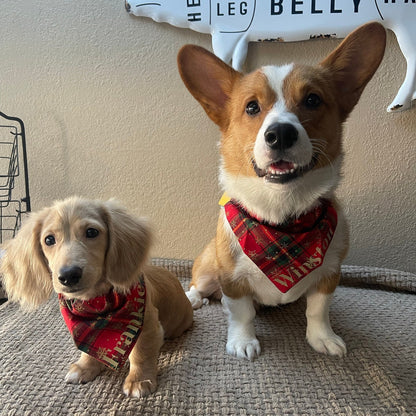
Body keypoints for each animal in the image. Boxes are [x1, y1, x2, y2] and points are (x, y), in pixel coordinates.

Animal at [0, 197, 193, 398]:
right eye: (49, 240)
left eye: (92, 232)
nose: (68, 275)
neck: (97, 304)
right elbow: (88, 350)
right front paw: (85, 368)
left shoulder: (147, 324)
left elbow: (141, 352)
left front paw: (139, 380)